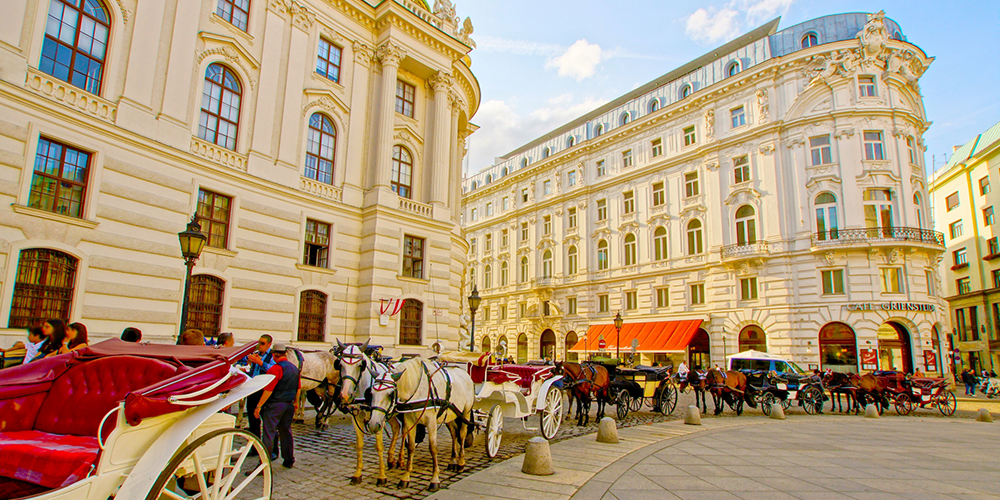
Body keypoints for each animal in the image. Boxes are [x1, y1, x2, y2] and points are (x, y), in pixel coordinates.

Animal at [336, 338, 398, 486]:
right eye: (340, 364)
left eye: (360, 365)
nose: (345, 395)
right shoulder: (357, 418)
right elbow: (359, 445)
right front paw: (357, 474)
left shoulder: (378, 419)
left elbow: (379, 446)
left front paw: (381, 477)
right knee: (397, 429)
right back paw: (392, 459)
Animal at [370, 358, 474, 490]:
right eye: (371, 393)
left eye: (390, 394)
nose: (373, 424)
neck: (416, 390)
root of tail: (464, 372)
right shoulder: (409, 421)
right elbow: (410, 447)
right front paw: (406, 477)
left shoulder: (431, 421)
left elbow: (433, 448)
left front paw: (435, 479)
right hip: (449, 414)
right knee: (454, 433)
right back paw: (452, 461)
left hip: (466, 412)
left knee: (462, 434)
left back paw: (461, 462)